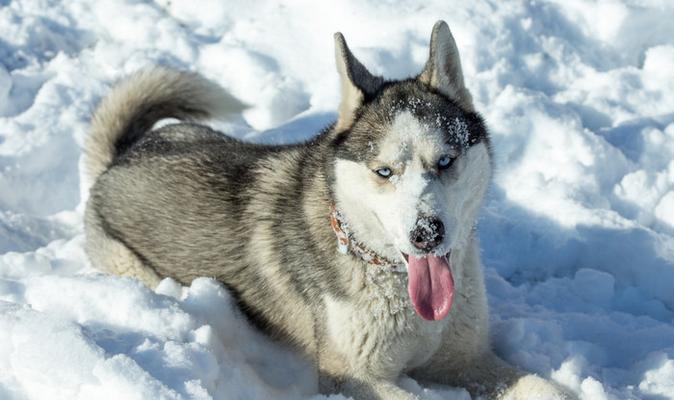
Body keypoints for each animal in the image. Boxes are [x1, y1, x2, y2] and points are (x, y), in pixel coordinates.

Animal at [82, 21, 568, 400]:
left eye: (446, 161)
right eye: (384, 171)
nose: (426, 233)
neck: (390, 278)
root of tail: (119, 159)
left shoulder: (466, 359)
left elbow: (545, 387)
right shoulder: (349, 378)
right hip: (132, 267)